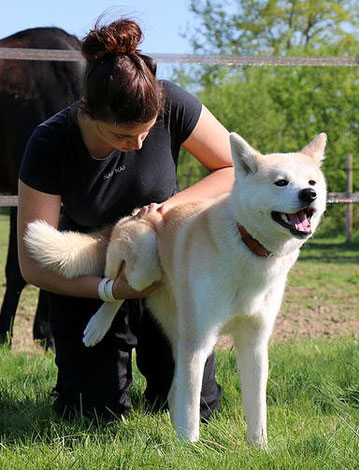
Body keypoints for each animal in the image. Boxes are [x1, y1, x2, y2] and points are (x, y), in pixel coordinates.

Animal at [26, 133, 330, 448]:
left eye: (312, 182)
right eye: (281, 182)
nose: (309, 195)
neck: (247, 245)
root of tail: (132, 216)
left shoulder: (254, 342)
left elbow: (257, 407)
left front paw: (259, 448)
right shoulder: (197, 340)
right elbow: (190, 405)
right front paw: (190, 447)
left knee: (174, 387)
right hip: (144, 263)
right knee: (114, 287)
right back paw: (97, 326)